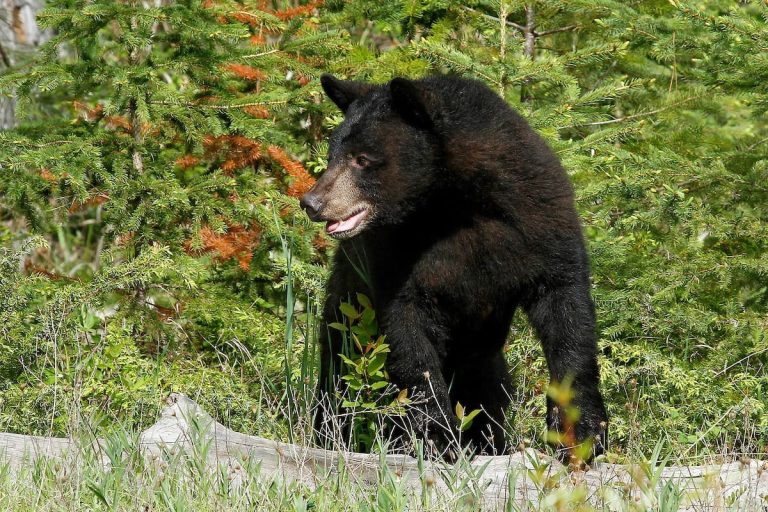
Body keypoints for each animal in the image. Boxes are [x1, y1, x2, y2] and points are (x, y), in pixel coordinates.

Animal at [301, 73, 608, 461]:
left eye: (362, 159)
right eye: (332, 155)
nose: (312, 201)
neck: (453, 204)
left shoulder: (538, 221)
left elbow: (566, 311)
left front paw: (582, 433)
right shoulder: (394, 254)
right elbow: (408, 331)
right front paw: (439, 438)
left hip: (481, 361)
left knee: (489, 395)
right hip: (348, 316)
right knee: (339, 377)